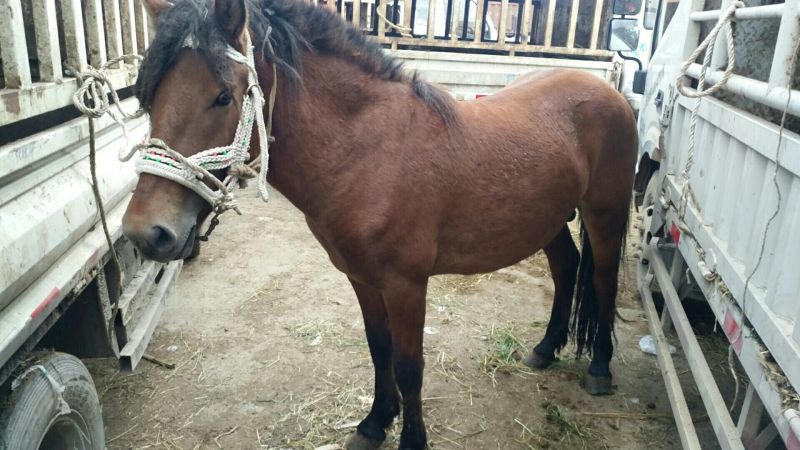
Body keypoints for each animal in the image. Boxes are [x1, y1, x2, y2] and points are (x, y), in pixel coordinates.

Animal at [121, 0, 638, 448]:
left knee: (603, 280)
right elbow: (378, 349)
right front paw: (374, 423)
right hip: (547, 220)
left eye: (223, 96)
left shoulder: (406, 284)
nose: (147, 232)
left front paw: (411, 439)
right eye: (148, 97)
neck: (366, 153)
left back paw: (600, 370)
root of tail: (609, 91)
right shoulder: (362, 278)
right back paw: (547, 348)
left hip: (605, 215)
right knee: (566, 268)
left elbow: (409, 365)